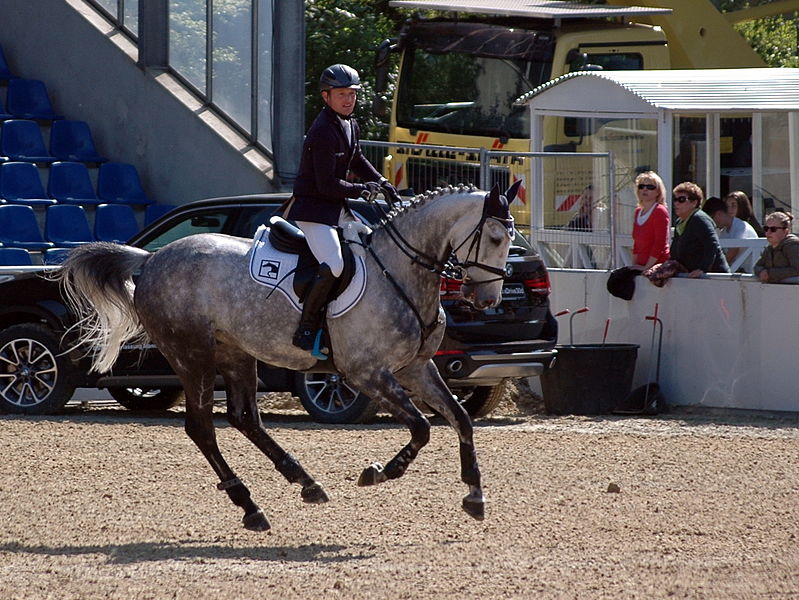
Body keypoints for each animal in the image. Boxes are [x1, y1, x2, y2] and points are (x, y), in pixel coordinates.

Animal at [56, 183, 520, 528]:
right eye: (496, 238)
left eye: (510, 238)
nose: (488, 300)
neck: (401, 272)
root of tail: (153, 257)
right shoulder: (366, 373)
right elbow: (422, 428)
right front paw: (378, 473)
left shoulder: (415, 368)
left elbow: (460, 419)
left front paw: (475, 495)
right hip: (192, 355)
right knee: (202, 427)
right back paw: (249, 506)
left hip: (236, 354)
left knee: (244, 418)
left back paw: (304, 483)